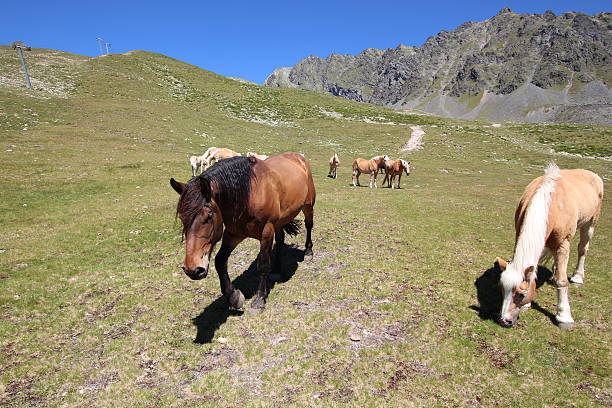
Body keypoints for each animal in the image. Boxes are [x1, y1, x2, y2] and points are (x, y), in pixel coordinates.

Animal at [171, 154, 316, 312]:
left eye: (208, 216)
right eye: (182, 217)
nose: (192, 270)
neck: (250, 195)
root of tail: (299, 157)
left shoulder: (266, 231)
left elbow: (263, 264)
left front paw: (259, 299)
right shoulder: (234, 233)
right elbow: (220, 260)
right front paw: (234, 297)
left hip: (308, 206)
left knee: (309, 225)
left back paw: (308, 251)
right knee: (280, 239)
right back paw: (277, 270)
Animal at [498, 164, 604, 330]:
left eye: (521, 294)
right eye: (501, 289)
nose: (504, 320)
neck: (550, 202)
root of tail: (592, 174)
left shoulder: (563, 244)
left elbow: (562, 281)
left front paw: (564, 317)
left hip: (590, 223)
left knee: (582, 249)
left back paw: (578, 276)